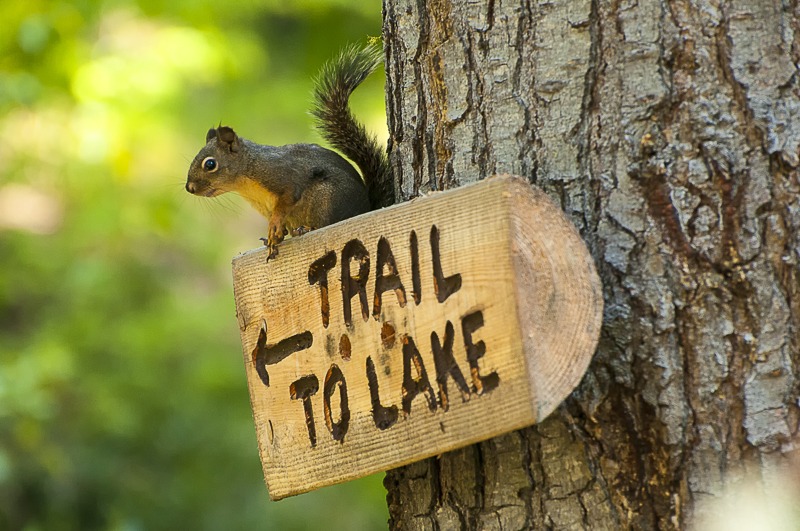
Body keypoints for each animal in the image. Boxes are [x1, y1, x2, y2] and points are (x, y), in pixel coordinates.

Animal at [185, 44, 393, 259]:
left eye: (210, 164)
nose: (189, 188)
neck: (247, 180)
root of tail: (367, 207)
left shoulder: (283, 175)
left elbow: (287, 200)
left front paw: (274, 227)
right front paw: (273, 237)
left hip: (327, 200)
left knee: (325, 223)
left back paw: (307, 229)